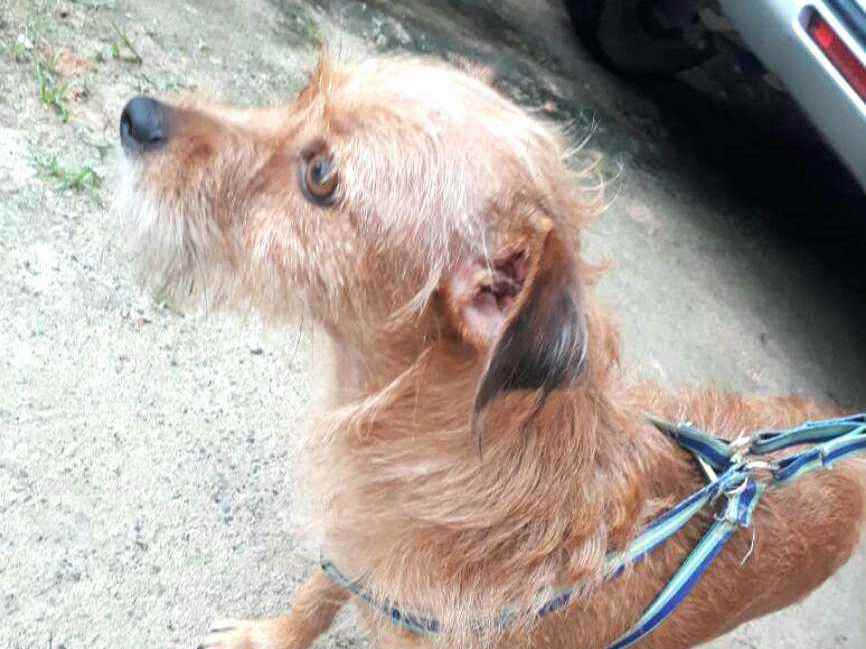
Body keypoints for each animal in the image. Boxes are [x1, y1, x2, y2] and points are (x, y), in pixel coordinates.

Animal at [116, 55, 866, 649]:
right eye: (304, 92)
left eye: (322, 175)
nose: (135, 114)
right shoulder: (355, 548)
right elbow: (318, 592)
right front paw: (268, 636)